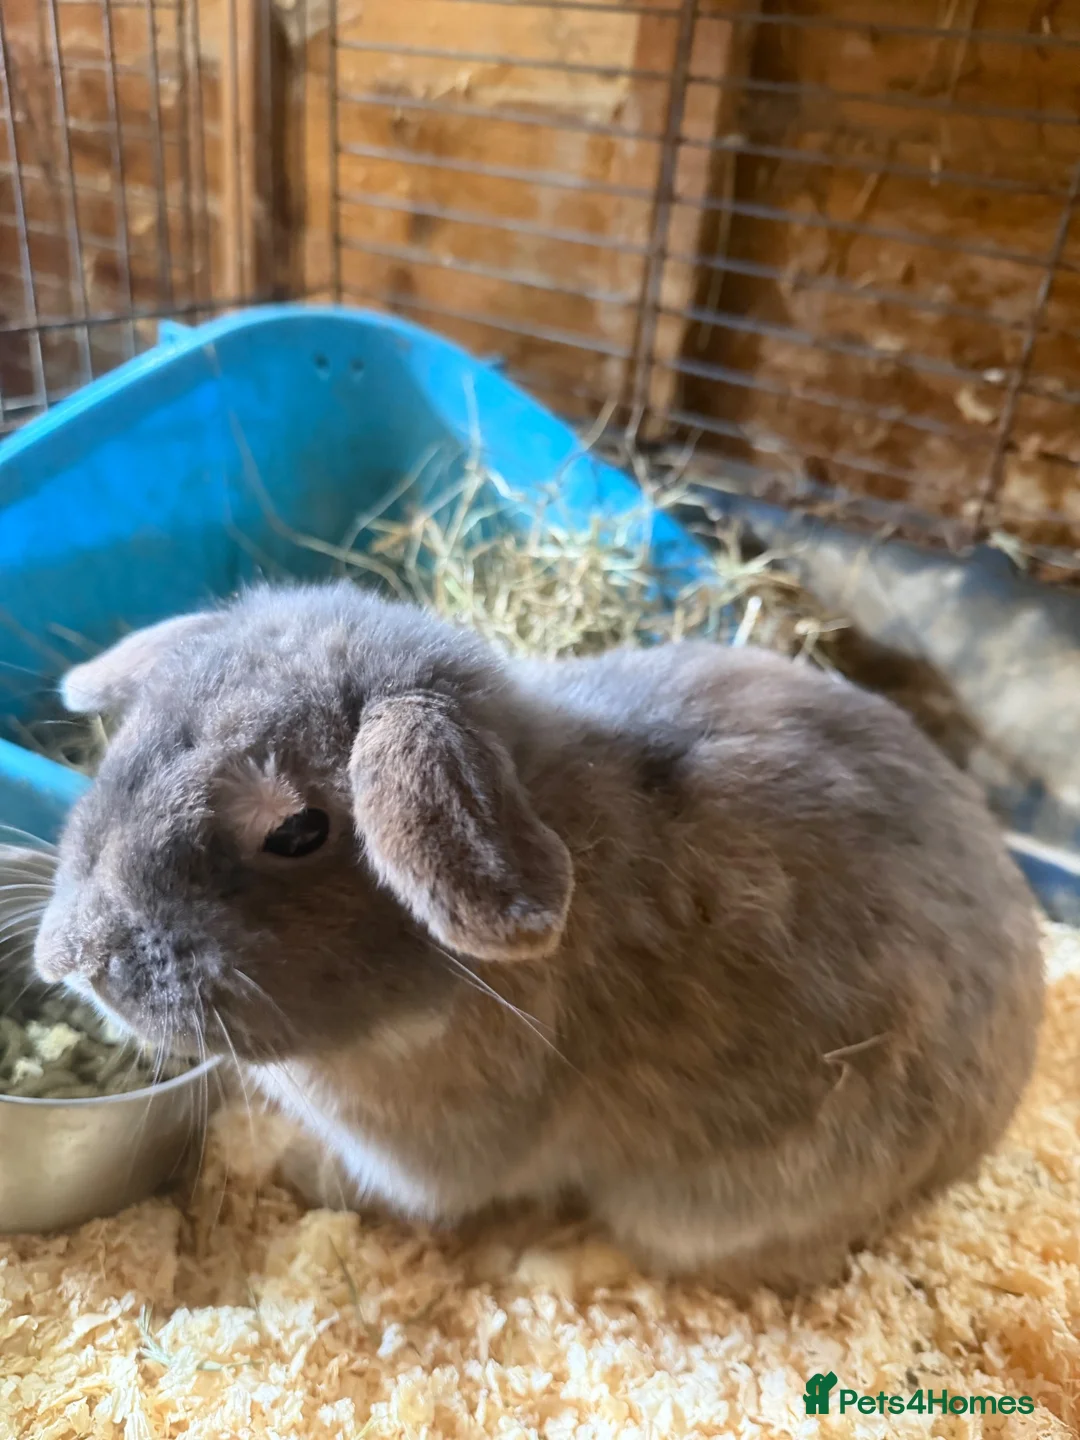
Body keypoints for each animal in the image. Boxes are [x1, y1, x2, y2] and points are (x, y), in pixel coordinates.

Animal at [33, 581, 1044, 1292]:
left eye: (296, 830)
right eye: (124, 753)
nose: (78, 959)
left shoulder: (423, 1162)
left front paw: (262, 1157)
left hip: (718, 1203)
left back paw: (543, 1266)